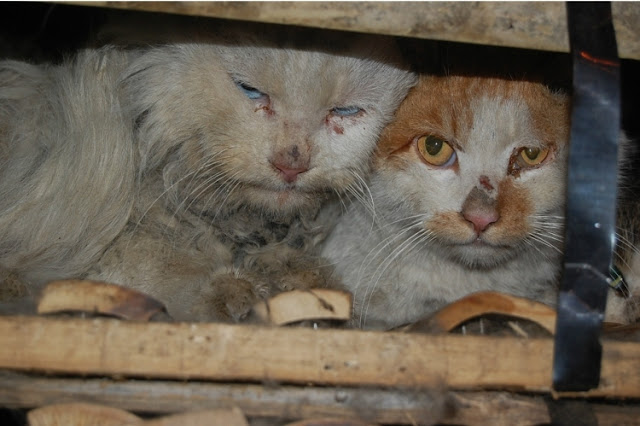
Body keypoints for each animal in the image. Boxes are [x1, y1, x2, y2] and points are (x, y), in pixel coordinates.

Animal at [0, 22, 416, 320]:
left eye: (345, 111)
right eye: (249, 91)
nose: (291, 163)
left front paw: (299, 278)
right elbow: (153, 264)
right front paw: (230, 293)